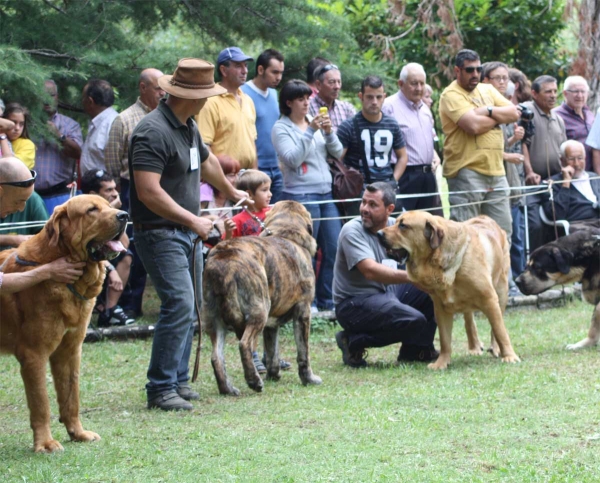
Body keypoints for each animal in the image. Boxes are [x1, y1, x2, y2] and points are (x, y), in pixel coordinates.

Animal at [0, 195, 127, 452]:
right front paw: (45, 443)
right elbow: (41, 403)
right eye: (91, 210)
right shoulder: (34, 354)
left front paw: (78, 433)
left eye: (109, 205)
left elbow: (71, 397)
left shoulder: (69, 350)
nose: (125, 215)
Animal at [202, 200, 324, 398]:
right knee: (244, 345)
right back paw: (253, 381)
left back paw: (228, 389)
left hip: (214, 320)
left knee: (216, 357)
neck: (286, 233)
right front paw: (309, 379)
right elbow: (303, 352)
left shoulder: (271, 325)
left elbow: (272, 351)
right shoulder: (303, 311)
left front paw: (273, 375)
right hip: (258, 310)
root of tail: (223, 260)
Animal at [380, 212, 520, 370]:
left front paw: (510, 356)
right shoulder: (440, 308)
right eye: (396, 222)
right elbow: (445, 339)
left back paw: (495, 349)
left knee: (495, 324)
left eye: (403, 225)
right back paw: (474, 347)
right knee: (469, 320)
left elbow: (500, 330)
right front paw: (441, 363)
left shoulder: (489, 298)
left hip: (501, 290)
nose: (379, 233)